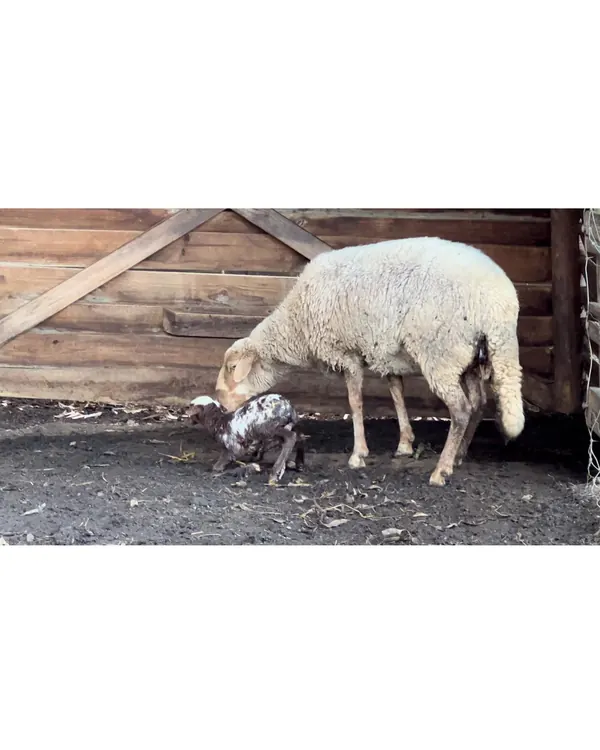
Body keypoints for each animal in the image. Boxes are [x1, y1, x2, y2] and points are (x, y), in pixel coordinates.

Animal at [213, 236, 525, 487]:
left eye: (232, 369)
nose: (222, 404)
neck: (296, 325)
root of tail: (500, 308)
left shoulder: (345, 353)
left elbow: (356, 403)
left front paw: (358, 454)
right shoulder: (385, 353)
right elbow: (397, 395)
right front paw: (405, 444)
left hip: (441, 351)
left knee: (460, 409)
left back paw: (441, 471)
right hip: (471, 357)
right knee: (478, 404)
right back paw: (459, 455)